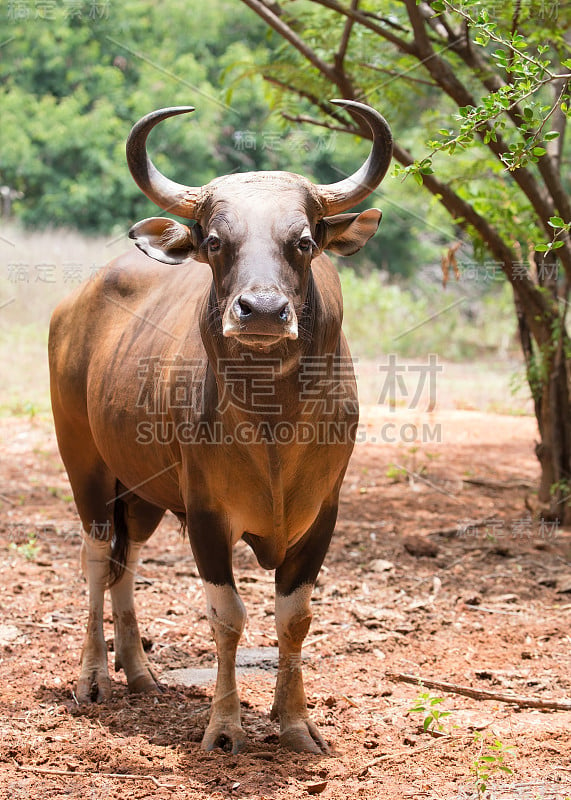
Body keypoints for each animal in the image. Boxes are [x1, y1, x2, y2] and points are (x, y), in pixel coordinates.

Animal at [50, 97, 394, 752]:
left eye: (303, 241)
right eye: (214, 240)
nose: (261, 310)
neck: (271, 423)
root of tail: (73, 304)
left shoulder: (323, 513)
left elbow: (294, 618)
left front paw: (294, 722)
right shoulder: (208, 514)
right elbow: (227, 615)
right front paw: (225, 726)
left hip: (144, 492)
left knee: (127, 563)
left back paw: (139, 672)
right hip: (86, 467)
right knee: (96, 558)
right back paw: (94, 677)